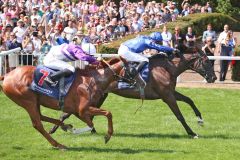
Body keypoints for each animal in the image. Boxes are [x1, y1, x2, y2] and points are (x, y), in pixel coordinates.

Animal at [0, 57, 129, 149]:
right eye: (131, 68)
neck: (94, 80)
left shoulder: (78, 110)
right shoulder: (82, 109)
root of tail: (6, 75)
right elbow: (106, 114)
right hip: (28, 101)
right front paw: (107, 136)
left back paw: (65, 126)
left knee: (41, 116)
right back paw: (59, 144)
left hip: (35, 101)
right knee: (38, 124)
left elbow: (91, 122)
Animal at [49, 49, 217, 138]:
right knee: (73, 112)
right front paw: (192, 132)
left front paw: (200, 119)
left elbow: (189, 100)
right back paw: (54, 129)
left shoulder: (170, 92)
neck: (168, 68)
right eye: (206, 62)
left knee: (82, 113)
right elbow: (179, 115)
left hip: (101, 96)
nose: (213, 78)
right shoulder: (167, 96)